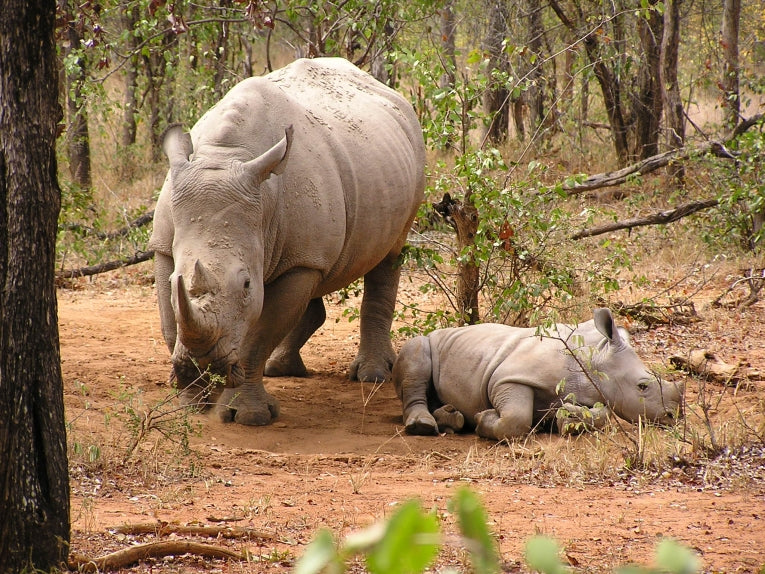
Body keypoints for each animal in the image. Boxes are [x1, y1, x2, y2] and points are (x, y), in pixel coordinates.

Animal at [148, 58, 425, 425]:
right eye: (174, 279)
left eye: (247, 285)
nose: (205, 363)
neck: (226, 157)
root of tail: (394, 96)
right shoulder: (164, 244)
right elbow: (169, 321)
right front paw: (192, 401)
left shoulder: (302, 261)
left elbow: (259, 336)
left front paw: (248, 416)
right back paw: (279, 368)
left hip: (413, 155)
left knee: (389, 256)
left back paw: (372, 376)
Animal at [392, 308, 683, 441]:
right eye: (643, 386)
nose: (674, 417)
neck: (596, 358)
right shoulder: (509, 377)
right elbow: (516, 419)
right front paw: (483, 419)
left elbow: (603, 413)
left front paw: (565, 419)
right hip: (424, 341)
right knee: (416, 354)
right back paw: (424, 426)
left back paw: (451, 419)